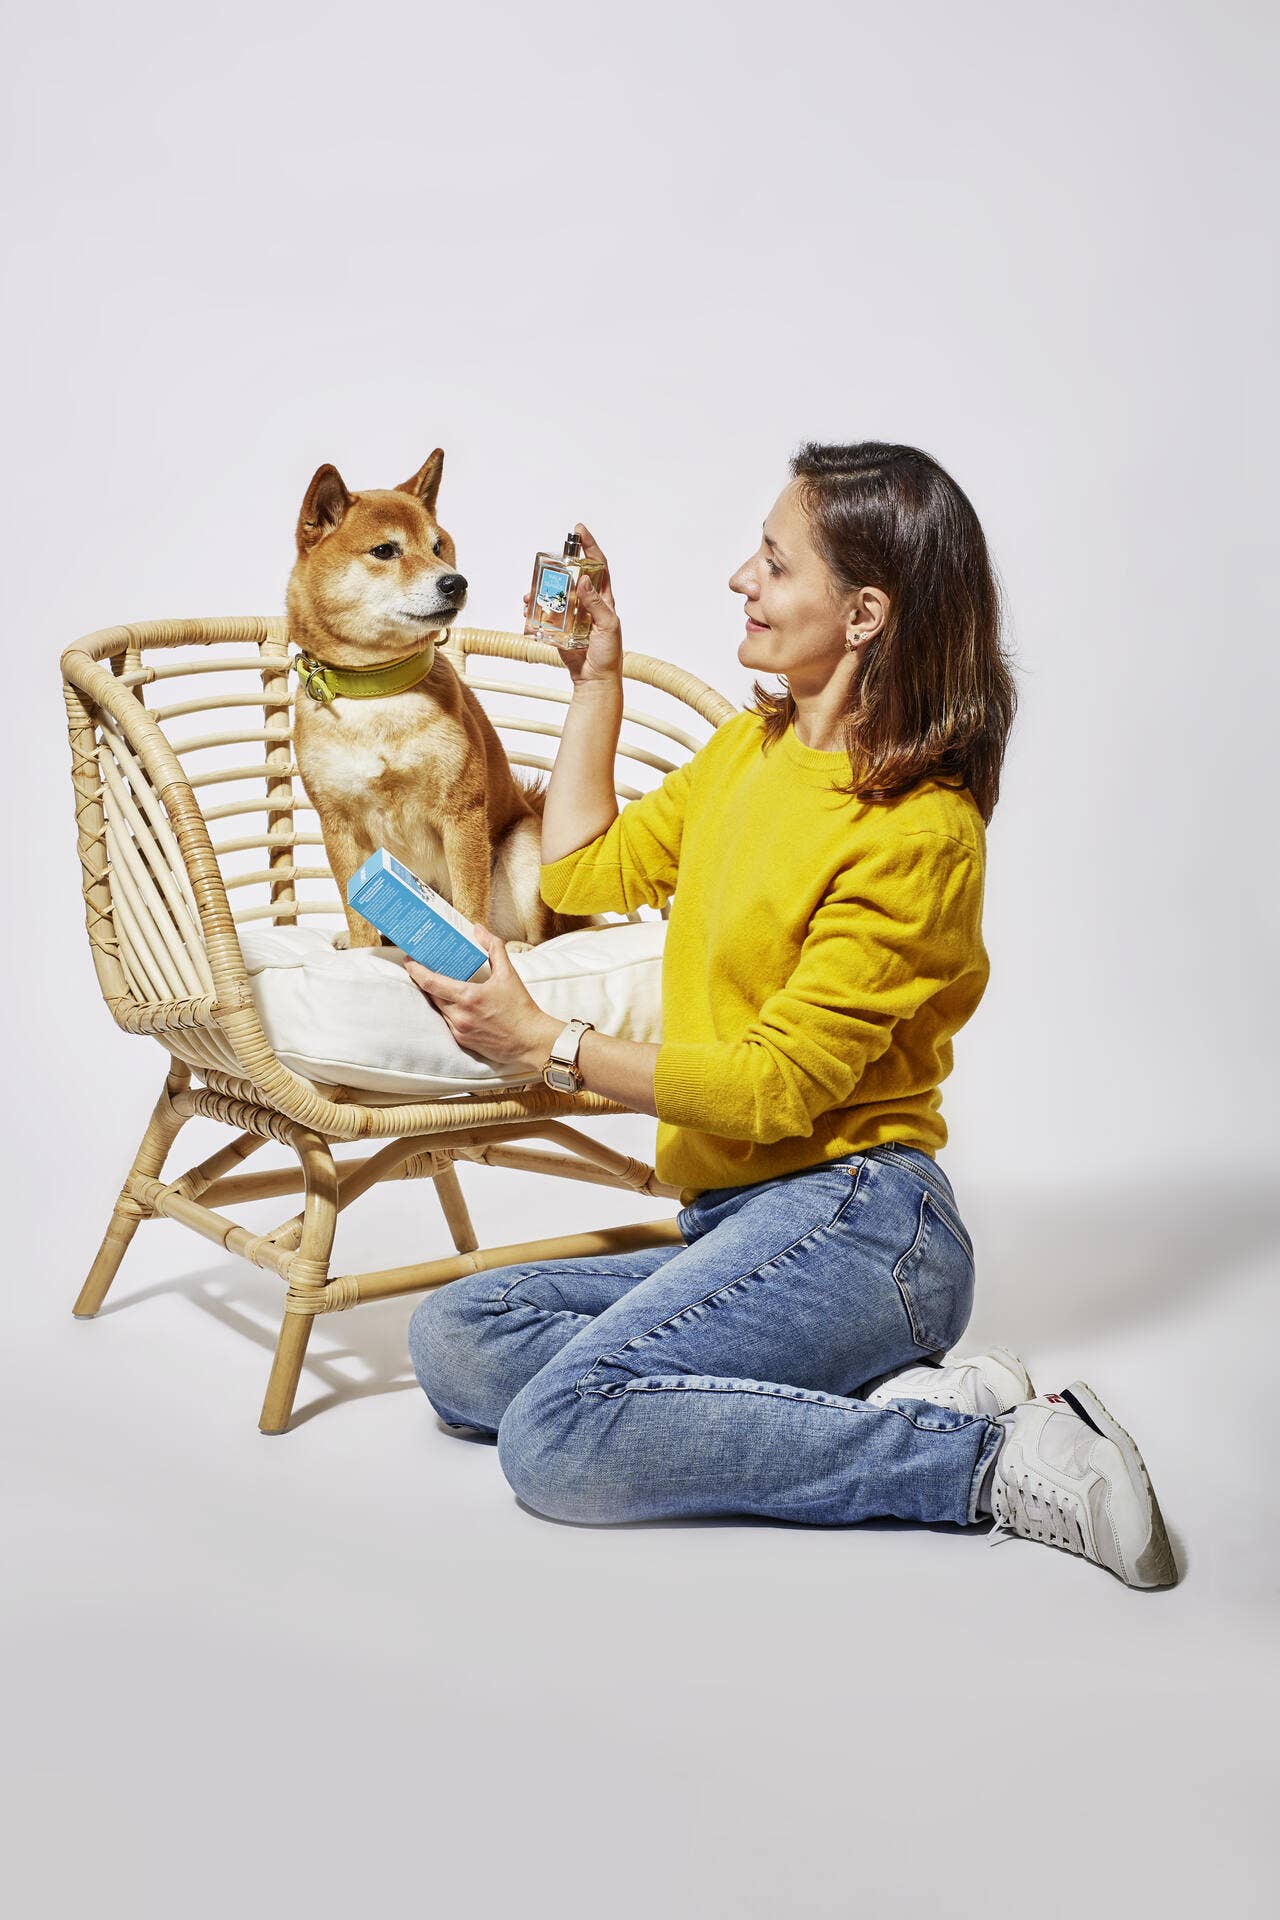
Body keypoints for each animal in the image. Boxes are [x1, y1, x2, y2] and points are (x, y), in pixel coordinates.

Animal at [285, 451, 602, 960]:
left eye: (438, 547)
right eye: (385, 551)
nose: (456, 582)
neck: (380, 691)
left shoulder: (462, 813)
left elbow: (471, 905)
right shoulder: (338, 823)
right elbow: (356, 912)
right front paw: (359, 949)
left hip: (523, 846)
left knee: (547, 933)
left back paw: (520, 948)